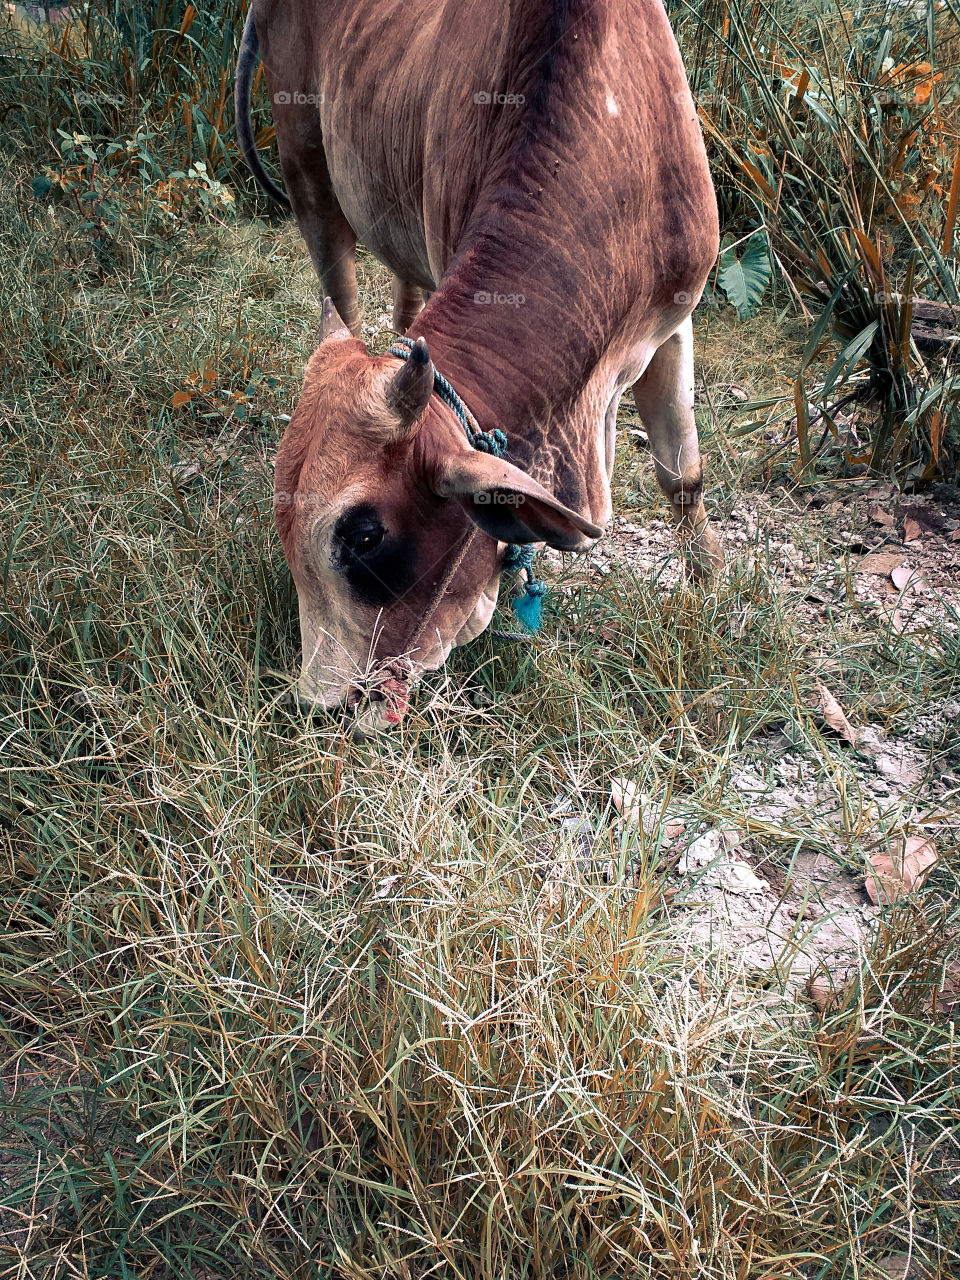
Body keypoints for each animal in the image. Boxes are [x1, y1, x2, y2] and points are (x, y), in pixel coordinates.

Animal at [239, 0, 721, 732]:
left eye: (366, 537)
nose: (321, 706)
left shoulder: (674, 321)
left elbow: (681, 474)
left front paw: (710, 586)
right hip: (305, 164)